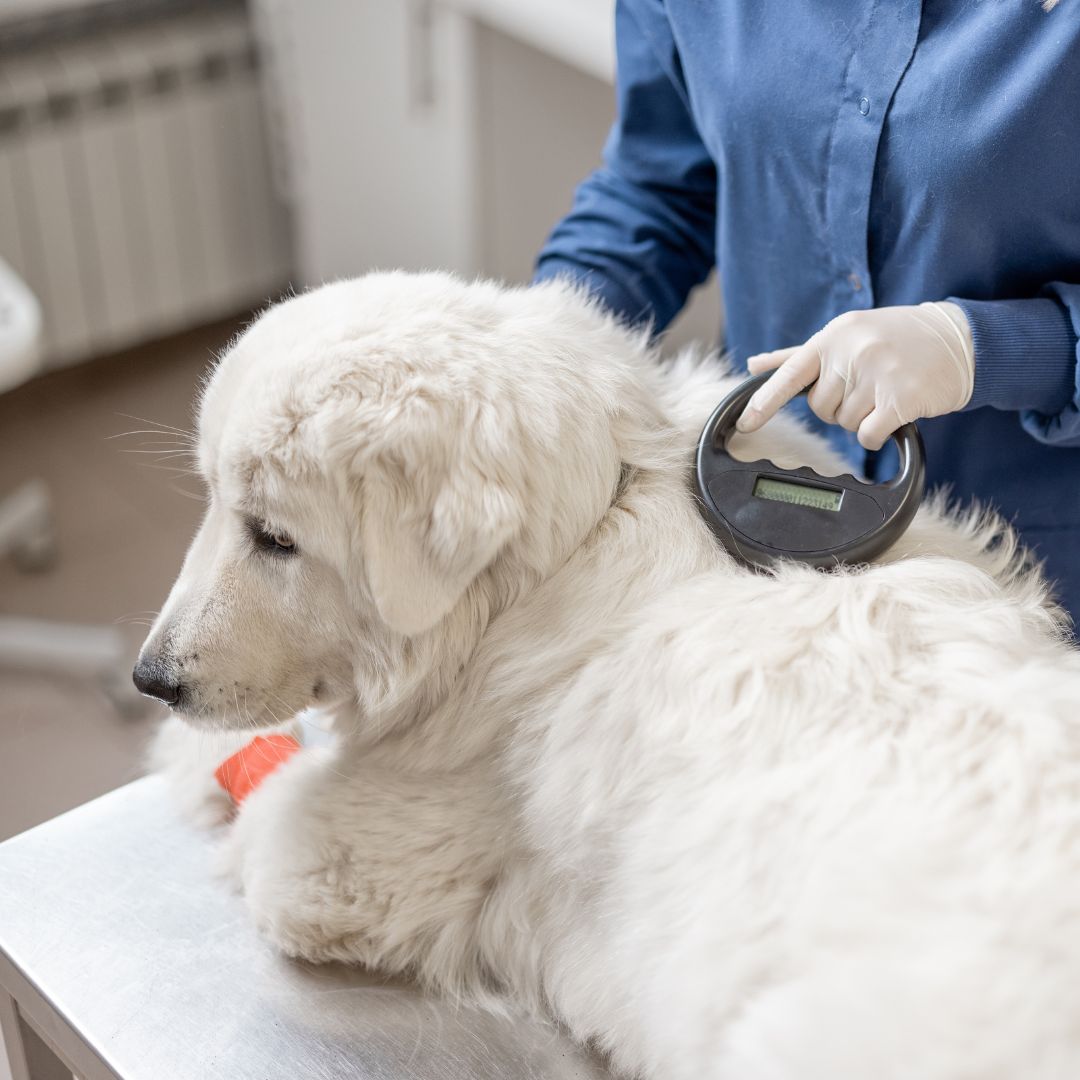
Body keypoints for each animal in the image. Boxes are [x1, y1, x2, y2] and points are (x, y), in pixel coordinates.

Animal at [139, 274, 1080, 1075]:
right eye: (214, 500)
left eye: (275, 538)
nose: (152, 678)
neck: (582, 533)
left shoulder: (339, 862)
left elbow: (264, 787)